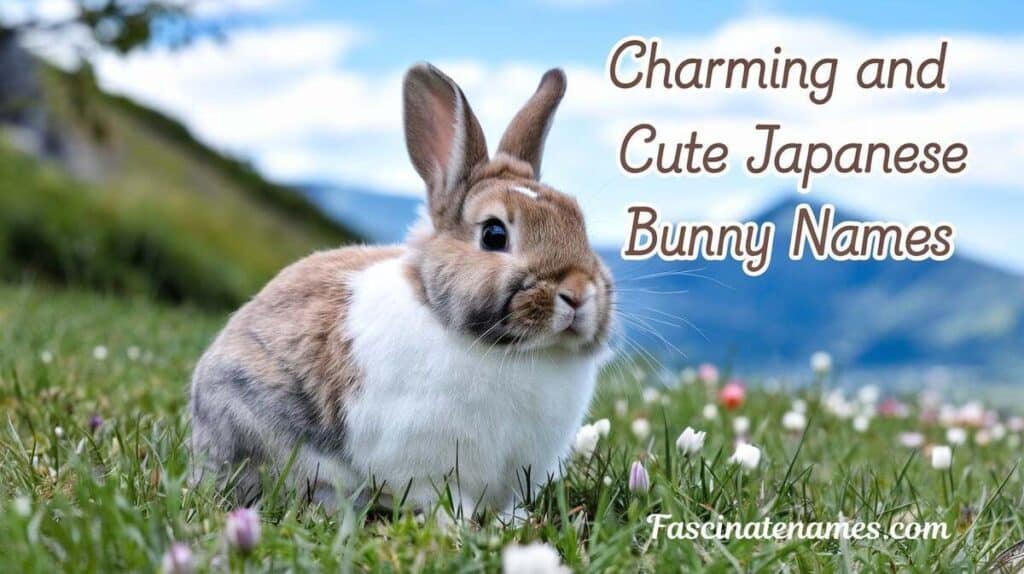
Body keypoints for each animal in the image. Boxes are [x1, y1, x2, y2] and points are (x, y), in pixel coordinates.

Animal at [188, 63, 614, 519]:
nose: (578, 292)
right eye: (494, 234)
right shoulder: (427, 466)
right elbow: (448, 500)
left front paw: (511, 521)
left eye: (578, 221)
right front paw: (465, 525)